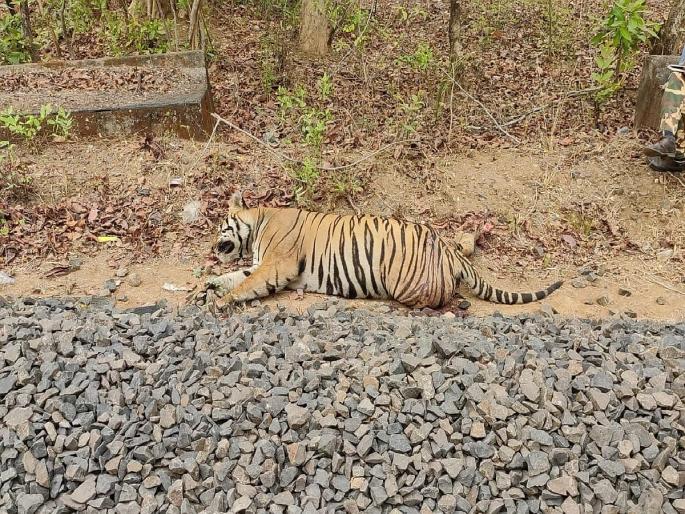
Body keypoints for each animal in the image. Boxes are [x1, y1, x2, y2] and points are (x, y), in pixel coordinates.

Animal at [193, 192, 563, 310]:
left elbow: (244, 284)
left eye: (220, 226)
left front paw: (220, 303)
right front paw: (206, 288)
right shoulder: (260, 264)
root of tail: (448, 252)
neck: (258, 223)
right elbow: (233, 275)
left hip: (404, 283)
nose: (210, 247)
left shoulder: (276, 265)